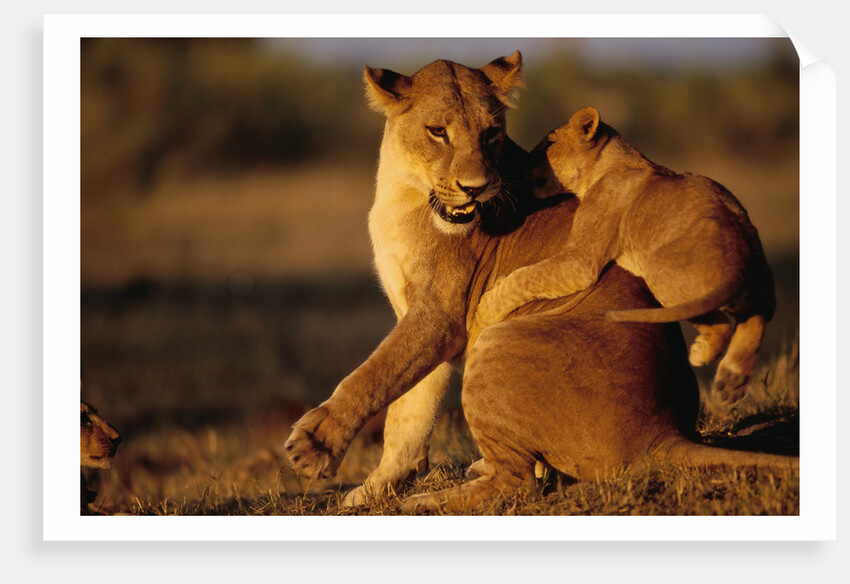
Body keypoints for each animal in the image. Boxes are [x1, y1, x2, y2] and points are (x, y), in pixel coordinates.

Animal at [471, 106, 776, 407]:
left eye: (548, 144)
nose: (518, 167)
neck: (612, 164)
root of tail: (740, 256)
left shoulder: (579, 262)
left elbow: (527, 277)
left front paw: (484, 311)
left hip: (660, 272)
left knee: (722, 323)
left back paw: (705, 357)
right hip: (757, 274)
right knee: (757, 316)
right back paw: (731, 382)